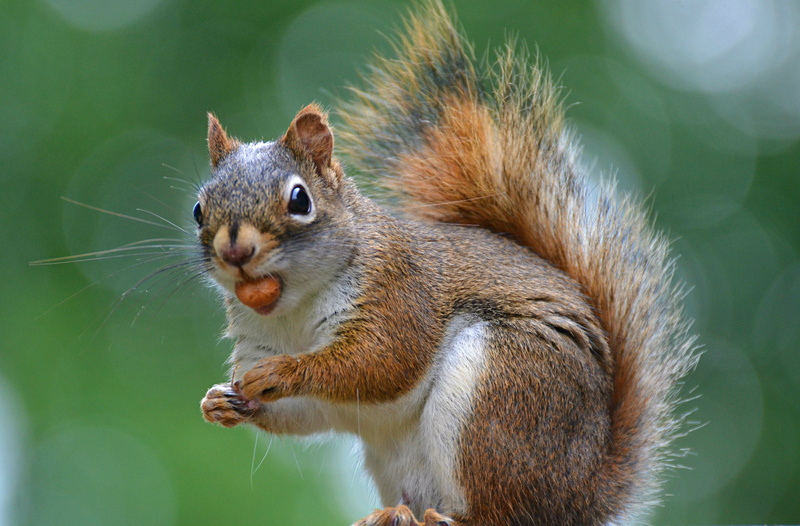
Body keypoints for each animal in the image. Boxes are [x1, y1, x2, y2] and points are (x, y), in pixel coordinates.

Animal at [198, 2, 698, 525]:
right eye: (198, 209)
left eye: (300, 200)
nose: (235, 251)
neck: (293, 305)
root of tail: (579, 498)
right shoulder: (259, 339)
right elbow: (309, 412)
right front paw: (222, 401)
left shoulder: (399, 291)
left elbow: (379, 363)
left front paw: (282, 372)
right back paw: (393, 514)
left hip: (502, 390)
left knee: (499, 511)